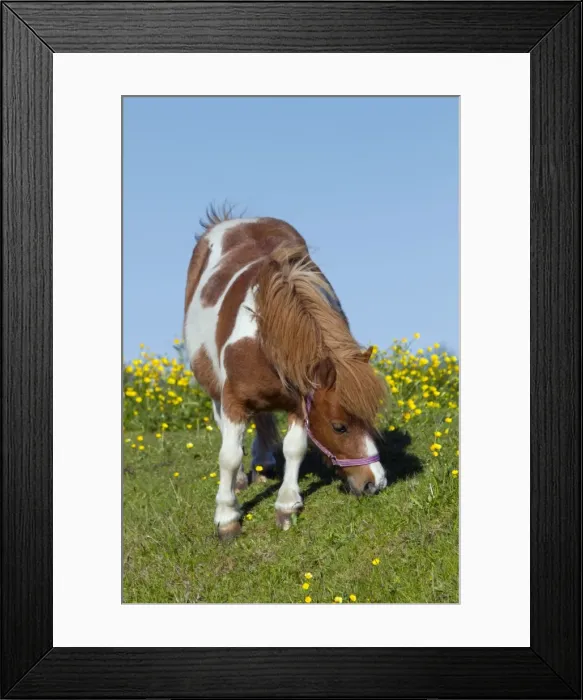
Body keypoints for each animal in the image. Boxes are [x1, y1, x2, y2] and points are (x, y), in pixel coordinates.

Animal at [184, 207, 388, 540]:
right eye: (339, 427)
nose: (375, 482)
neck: (265, 334)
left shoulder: (299, 402)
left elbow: (295, 449)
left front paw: (287, 506)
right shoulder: (233, 400)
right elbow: (229, 456)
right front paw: (227, 517)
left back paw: (264, 464)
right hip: (212, 385)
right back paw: (241, 480)